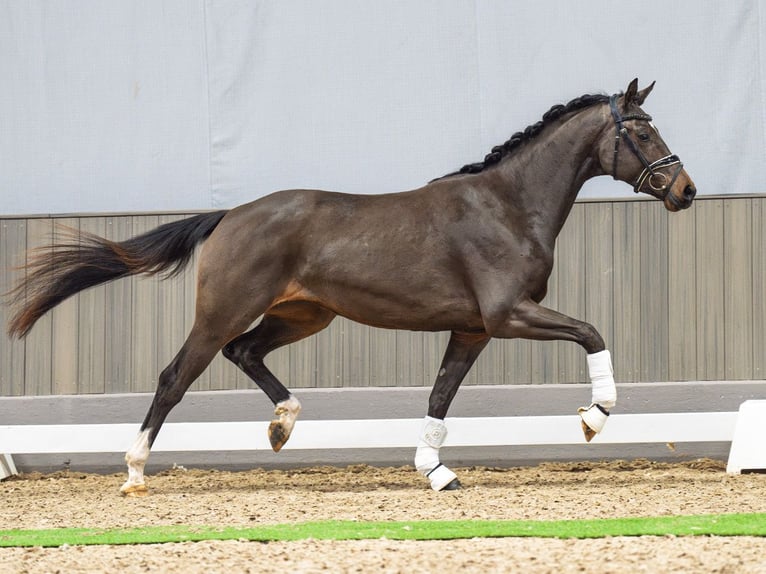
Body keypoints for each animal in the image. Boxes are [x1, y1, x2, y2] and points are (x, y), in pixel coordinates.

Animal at [7, 79, 704, 498]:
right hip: (223, 311)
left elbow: (441, 395)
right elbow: (591, 331)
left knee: (245, 352)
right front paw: (594, 417)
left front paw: (436, 472)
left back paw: (283, 425)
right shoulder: (510, 314)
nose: (685, 190)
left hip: (304, 315)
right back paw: (134, 472)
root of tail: (231, 215)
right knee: (175, 376)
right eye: (643, 131)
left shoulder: (473, 328)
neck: (508, 206)